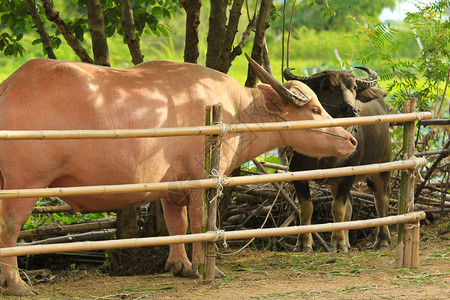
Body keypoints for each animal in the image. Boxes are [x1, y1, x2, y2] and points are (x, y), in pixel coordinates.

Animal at [0, 54, 358, 296]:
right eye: (314, 109)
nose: (351, 139)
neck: (235, 111)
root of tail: (8, 87)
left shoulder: (172, 187)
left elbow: (177, 225)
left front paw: (180, 266)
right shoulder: (201, 181)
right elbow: (199, 223)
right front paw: (205, 268)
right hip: (25, 185)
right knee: (10, 229)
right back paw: (16, 283)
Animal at [284, 67, 392, 252]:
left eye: (354, 87)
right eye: (327, 86)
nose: (351, 110)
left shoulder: (348, 174)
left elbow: (338, 209)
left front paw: (338, 244)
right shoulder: (297, 171)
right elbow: (306, 208)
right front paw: (304, 244)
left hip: (382, 168)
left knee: (381, 201)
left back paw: (382, 240)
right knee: (350, 205)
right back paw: (347, 241)